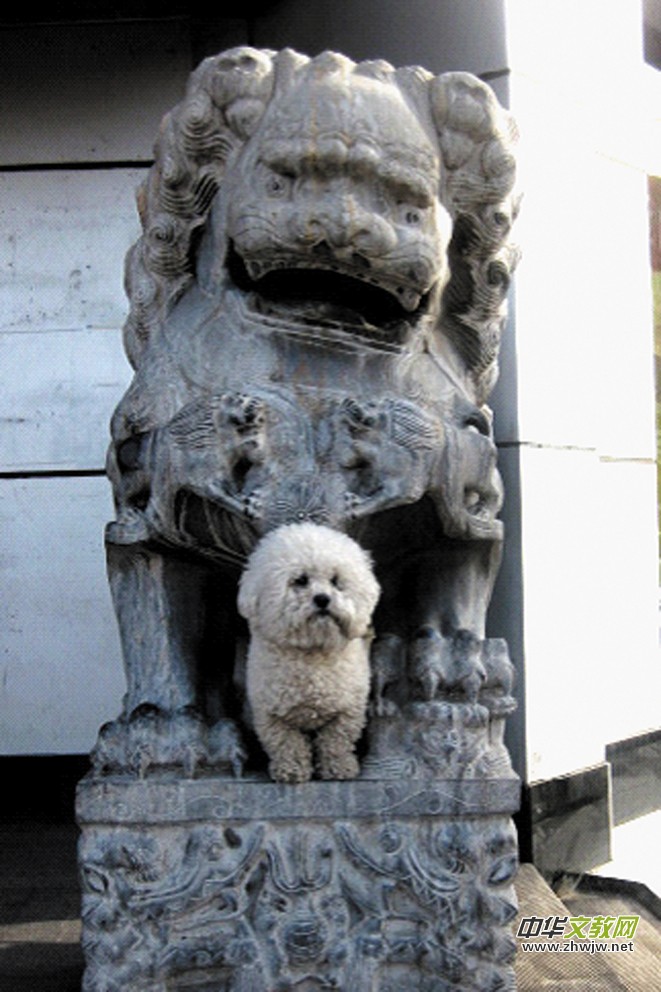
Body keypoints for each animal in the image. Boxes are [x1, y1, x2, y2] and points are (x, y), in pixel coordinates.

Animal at [237, 522, 380, 783]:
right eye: (300, 580)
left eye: (336, 581)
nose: (322, 599)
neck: (312, 651)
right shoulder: (271, 715)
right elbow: (286, 743)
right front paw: (291, 771)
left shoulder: (348, 710)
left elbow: (337, 741)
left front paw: (339, 769)